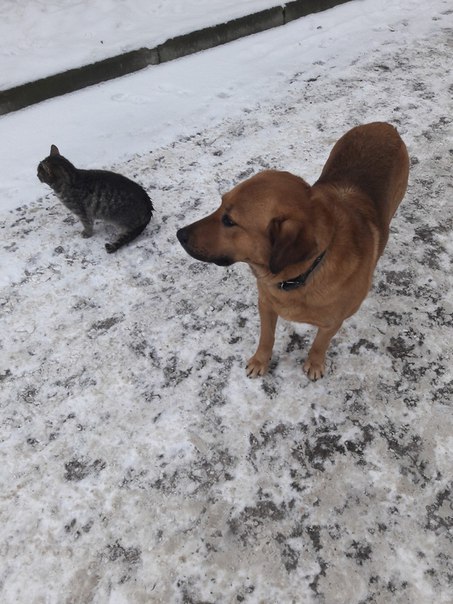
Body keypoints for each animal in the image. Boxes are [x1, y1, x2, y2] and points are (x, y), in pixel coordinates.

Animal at [177, 122, 409, 380]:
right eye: (220, 205)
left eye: (229, 221)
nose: (180, 234)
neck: (300, 276)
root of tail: (385, 125)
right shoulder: (266, 304)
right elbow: (266, 337)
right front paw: (260, 361)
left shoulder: (332, 323)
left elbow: (319, 344)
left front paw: (315, 363)